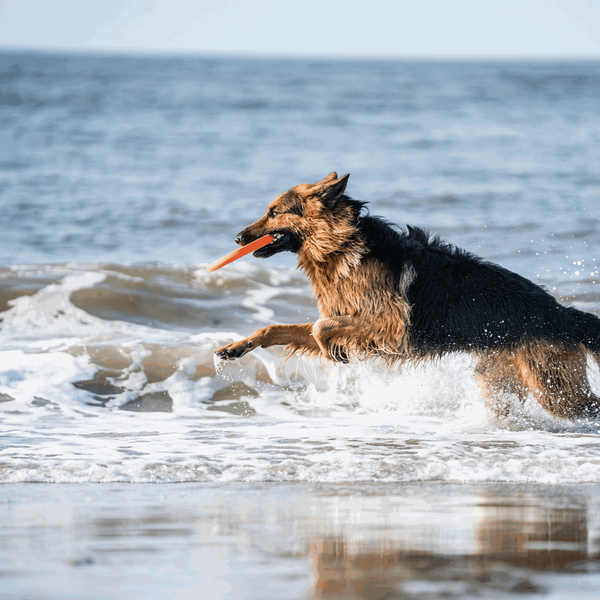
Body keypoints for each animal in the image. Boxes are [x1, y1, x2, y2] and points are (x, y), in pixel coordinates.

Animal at [218, 171, 600, 420]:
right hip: (501, 380)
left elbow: (319, 328)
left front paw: (332, 350)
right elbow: (278, 328)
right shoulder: (351, 319)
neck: (341, 246)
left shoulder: (389, 325)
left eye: (274, 212)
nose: (237, 239)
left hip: (554, 389)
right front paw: (237, 346)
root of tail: (565, 314)